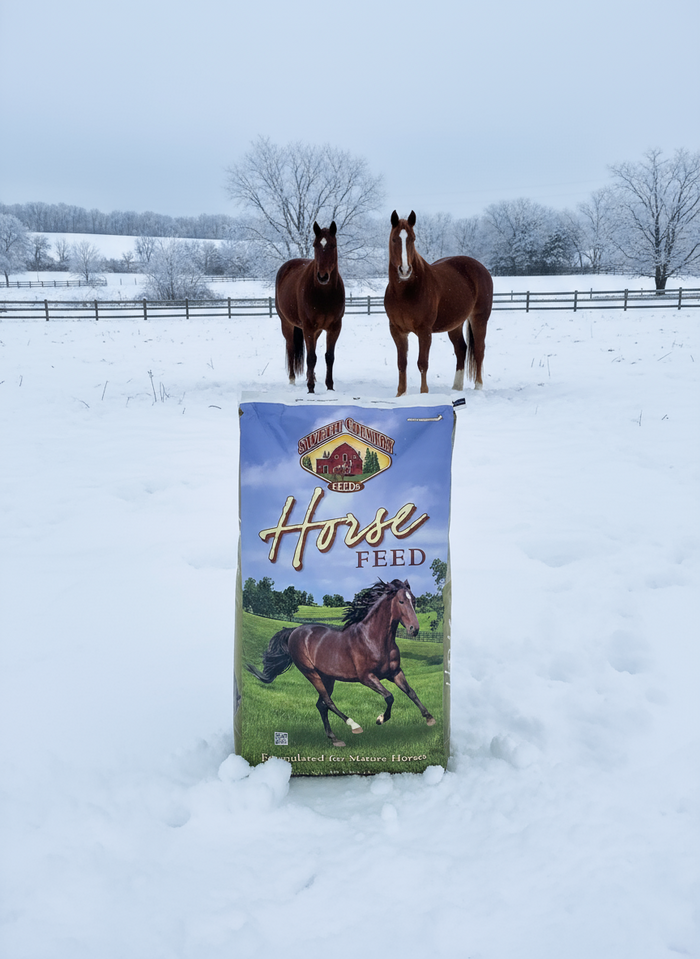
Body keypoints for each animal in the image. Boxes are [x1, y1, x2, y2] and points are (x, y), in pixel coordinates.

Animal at [245, 579, 436, 747]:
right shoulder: (366, 677)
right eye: (401, 601)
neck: (374, 639)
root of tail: (294, 631)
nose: (414, 629)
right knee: (328, 702)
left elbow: (411, 692)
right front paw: (380, 719)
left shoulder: (395, 673)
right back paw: (354, 726)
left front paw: (429, 718)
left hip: (328, 677)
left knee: (321, 705)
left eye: (415, 601)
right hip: (311, 673)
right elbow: (389, 696)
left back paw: (335, 739)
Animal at [275, 221, 345, 393]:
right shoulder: (308, 327)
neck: (324, 294)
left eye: (333, 245)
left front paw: (329, 387)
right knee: (291, 348)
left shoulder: (334, 328)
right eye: (315, 245)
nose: (323, 276)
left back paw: (310, 376)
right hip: (287, 324)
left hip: (316, 331)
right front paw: (311, 389)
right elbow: (311, 357)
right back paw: (292, 380)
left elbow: (329, 357)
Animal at [384, 210, 493, 396]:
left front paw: (424, 394)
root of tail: (480, 267)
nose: (404, 270)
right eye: (394, 239)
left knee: (479, 350)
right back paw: (456, 388)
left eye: (413, 239)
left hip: (479, 319)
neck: (404, 291)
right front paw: (401, 394)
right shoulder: (397, 331)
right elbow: (402, 363)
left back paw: (478, 387)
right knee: (461, 349)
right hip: (455, 324)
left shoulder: (424, 331)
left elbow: (422, 363)